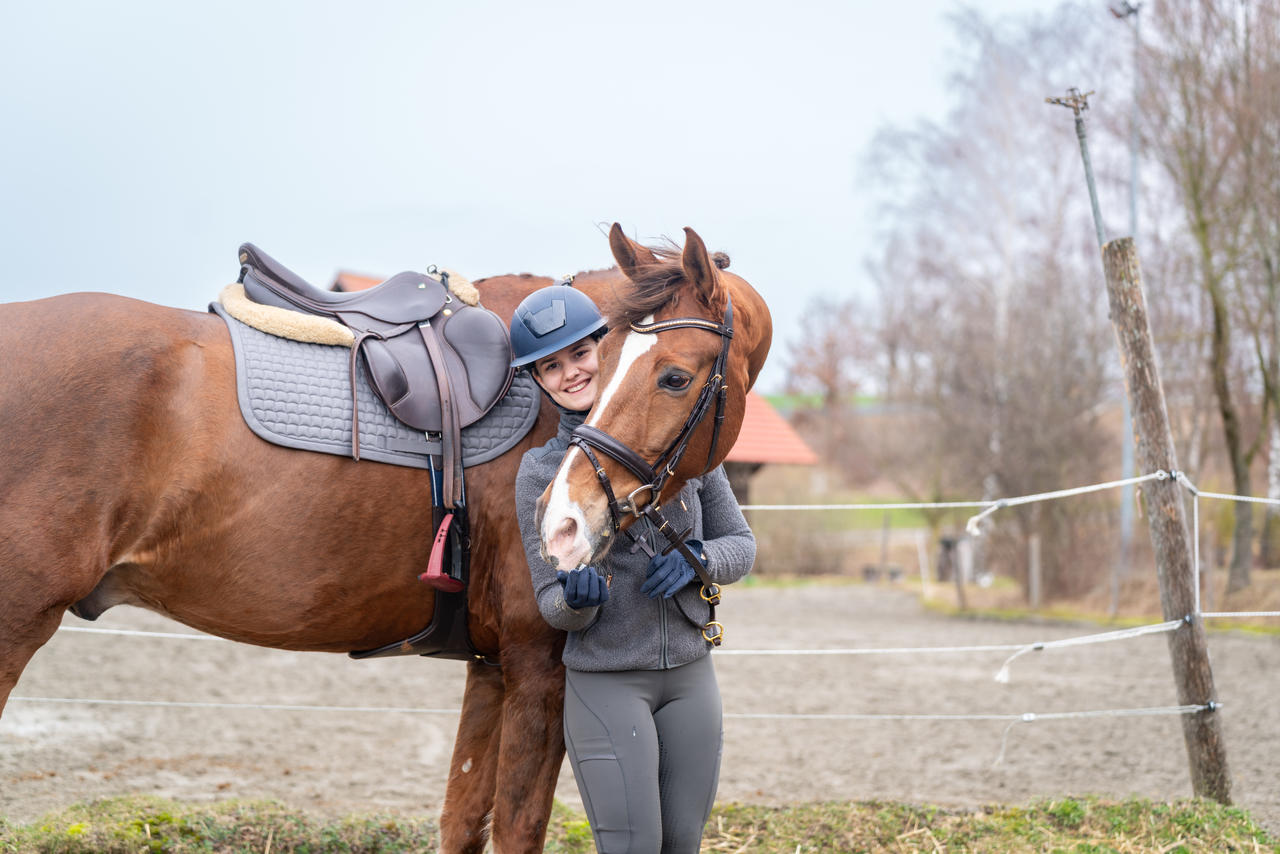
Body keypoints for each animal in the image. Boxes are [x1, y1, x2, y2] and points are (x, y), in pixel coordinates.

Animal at [0, 224, 768, 850]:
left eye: (674, 376)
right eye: (599, 367)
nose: (562, 523)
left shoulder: (492, 668)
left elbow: (462, 820)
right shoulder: (538, 665)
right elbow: (518, 828)